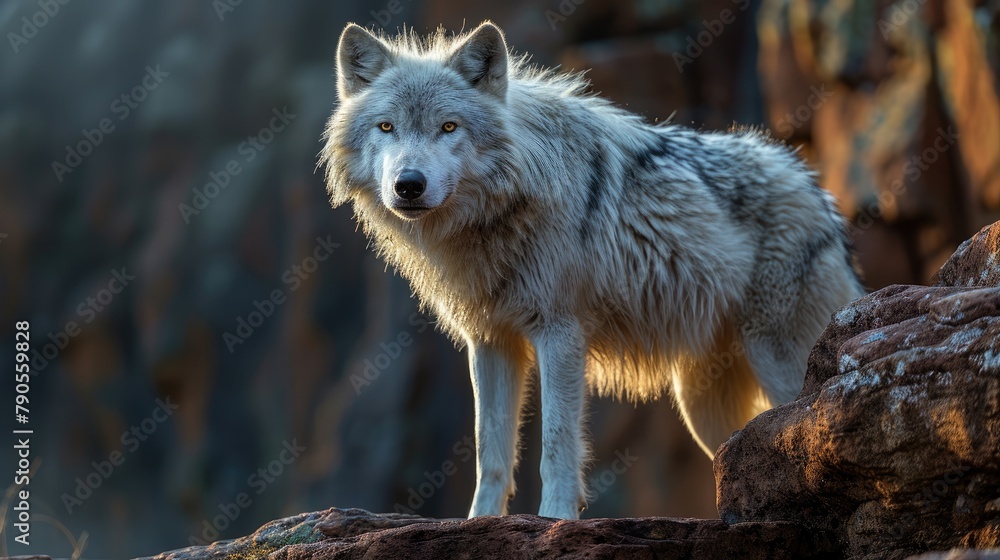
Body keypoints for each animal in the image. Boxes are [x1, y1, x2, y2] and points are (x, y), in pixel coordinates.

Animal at [320, 21, 864, 520]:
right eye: (386, 127)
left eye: (449, 127)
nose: (408, 185)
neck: (501, 212)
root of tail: (819, 194)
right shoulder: (490, 341)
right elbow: (489, 450)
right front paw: (481, 523)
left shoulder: (559, 333)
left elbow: (557, 443)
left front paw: (555, 519)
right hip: (704, 407)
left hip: (777, 367)